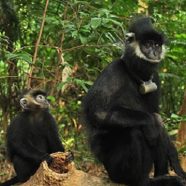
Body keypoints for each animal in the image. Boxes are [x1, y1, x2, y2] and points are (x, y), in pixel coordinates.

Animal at [83, 16, 186, 186]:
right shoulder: (114, 69)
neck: (136, 75)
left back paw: (162, 176)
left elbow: (156, 115)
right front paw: (151, 123)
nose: (155, 52)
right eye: (147, 44)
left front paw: (173, 154)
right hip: (115, 169)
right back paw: (142, 181)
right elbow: (99, 113)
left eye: (157, 45)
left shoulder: (155, 77)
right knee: (135, 131)